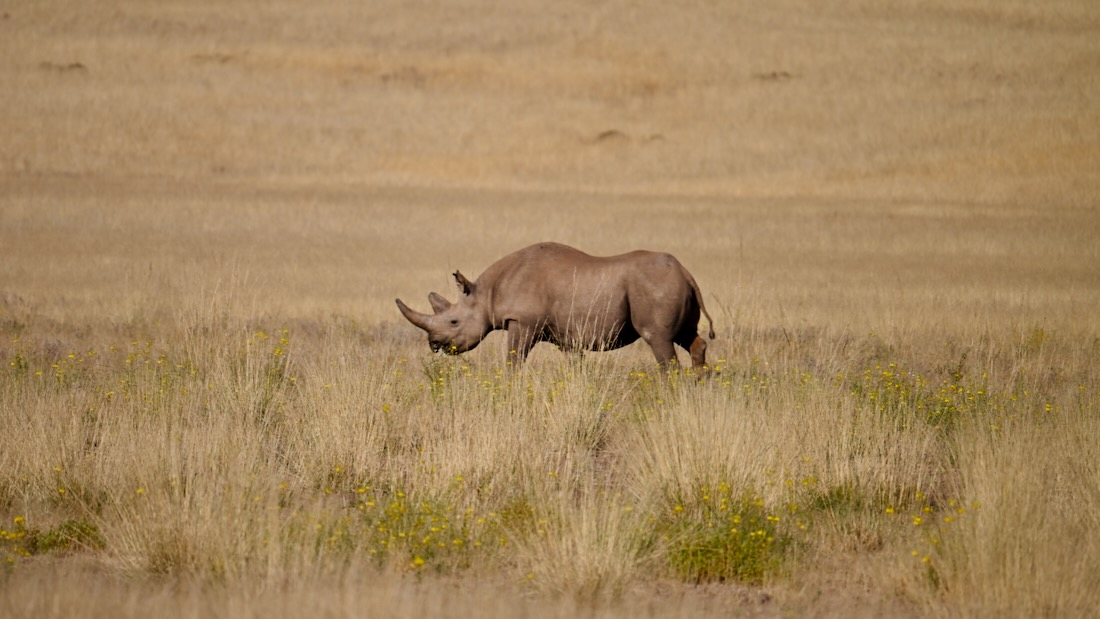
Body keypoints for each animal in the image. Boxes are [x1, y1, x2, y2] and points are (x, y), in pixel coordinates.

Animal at [395, 242, 716, 370]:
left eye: (453, 322)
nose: (434, 345)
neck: (485, 294)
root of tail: (685, 272)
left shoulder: (522, 322)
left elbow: (513, 361)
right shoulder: (567, 335)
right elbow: (575, 362)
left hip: (655, 285)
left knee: (657, 338)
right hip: (672, 284)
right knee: (687, 337)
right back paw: (698, 384)